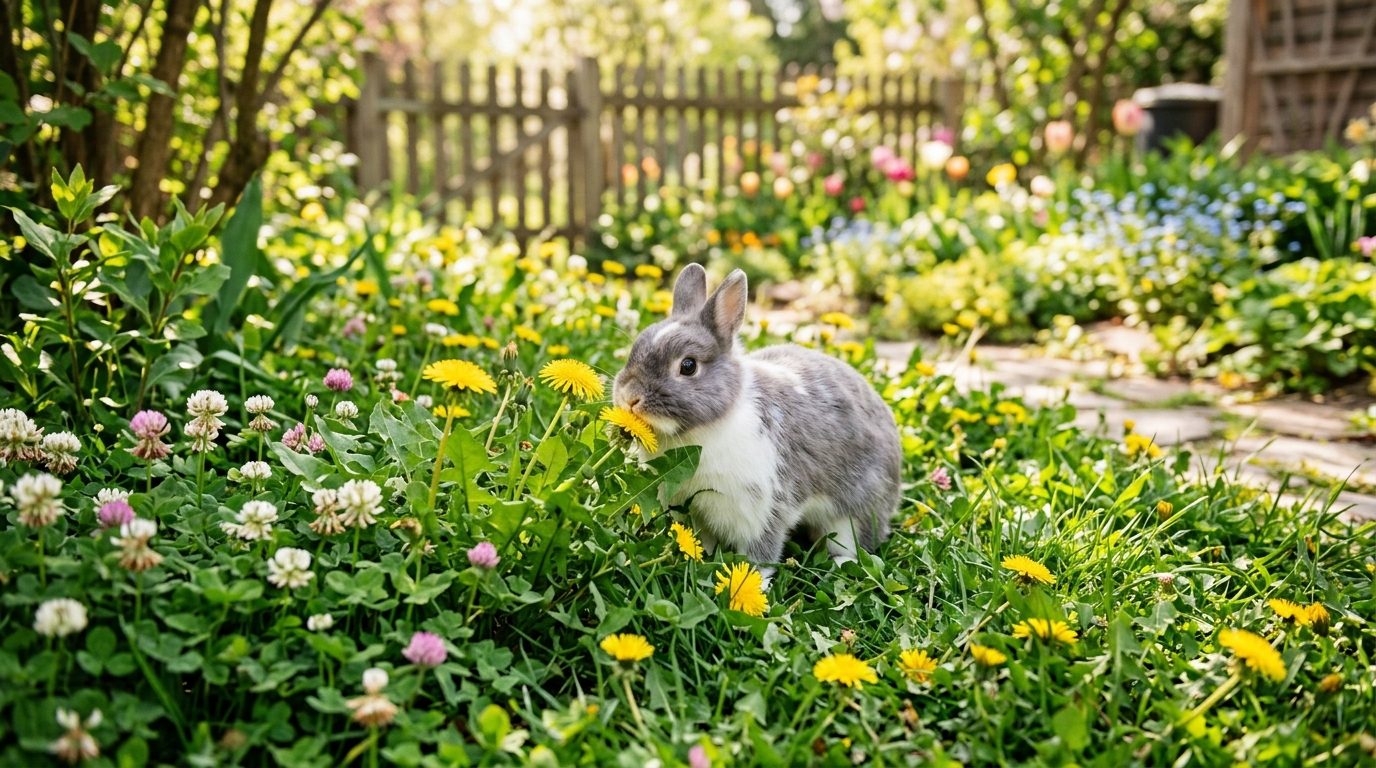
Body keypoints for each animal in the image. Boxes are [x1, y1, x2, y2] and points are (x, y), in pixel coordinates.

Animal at [612, 263, 902, 582]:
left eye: (688, 366)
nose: (629, 397)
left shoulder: (762, 510)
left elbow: (761, 552)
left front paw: (750, 581)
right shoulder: (695, 511)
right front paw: (700, 564)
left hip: (851, 514)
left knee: (855, 544)